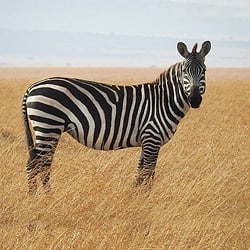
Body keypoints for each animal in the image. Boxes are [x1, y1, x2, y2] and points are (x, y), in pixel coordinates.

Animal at [23, 41, 211, 193]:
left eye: (204, 71)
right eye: (184, 71)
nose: (195, 99)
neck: (163, 101)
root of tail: (33, 86)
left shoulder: (146, 140)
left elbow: (140, 173)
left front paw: (134, 197)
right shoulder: (152, 137)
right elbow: (148, 173)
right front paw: (147, 199)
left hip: (46, 128)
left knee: (36, 163)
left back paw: (35, 196)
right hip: (49, 126)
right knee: (40, 164)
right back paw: (44, 197)